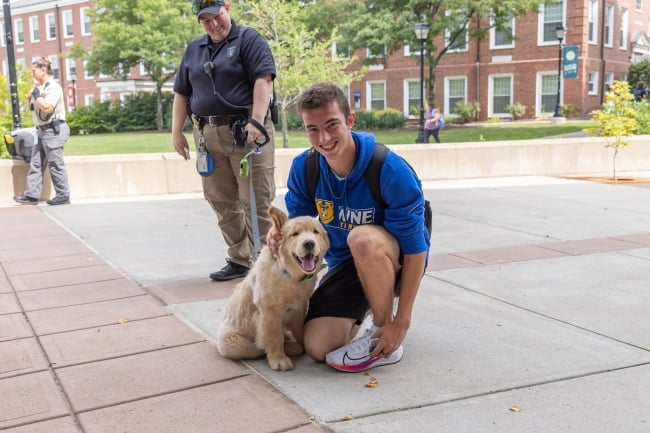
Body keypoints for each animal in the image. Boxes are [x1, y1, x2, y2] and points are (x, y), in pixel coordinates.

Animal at [216, 206, 330, 372]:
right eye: (294, 234)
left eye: (316, 232)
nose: (309, 243)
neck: (290, 274)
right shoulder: (269, 312)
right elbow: (274, 338)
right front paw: (279, 360)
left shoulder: (299, 308)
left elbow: (300, 330)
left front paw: (302, 345)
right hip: (233, 343)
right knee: (258, 348)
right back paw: (290, 348)